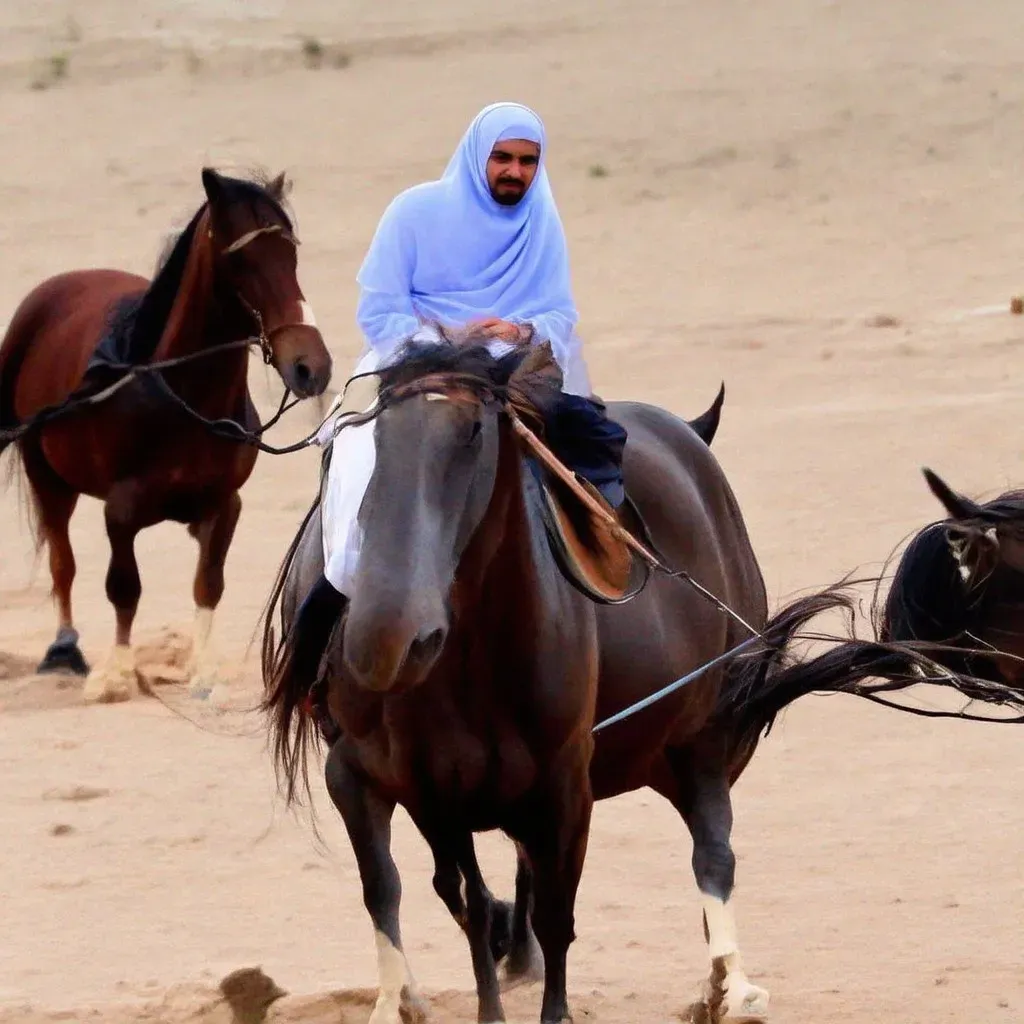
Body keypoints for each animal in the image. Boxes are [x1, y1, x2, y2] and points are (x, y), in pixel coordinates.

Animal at [0, 167, 331, 704]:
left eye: (292, 255)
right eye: (240, 261)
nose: (310, 367)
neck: (184, 398)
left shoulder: (223, 505)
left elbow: (208, 584)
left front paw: (203, 673)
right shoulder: (120, 510)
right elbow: (123, 587)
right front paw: (116, 674)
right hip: (45, 473)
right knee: (62, 561)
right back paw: (64, 649)